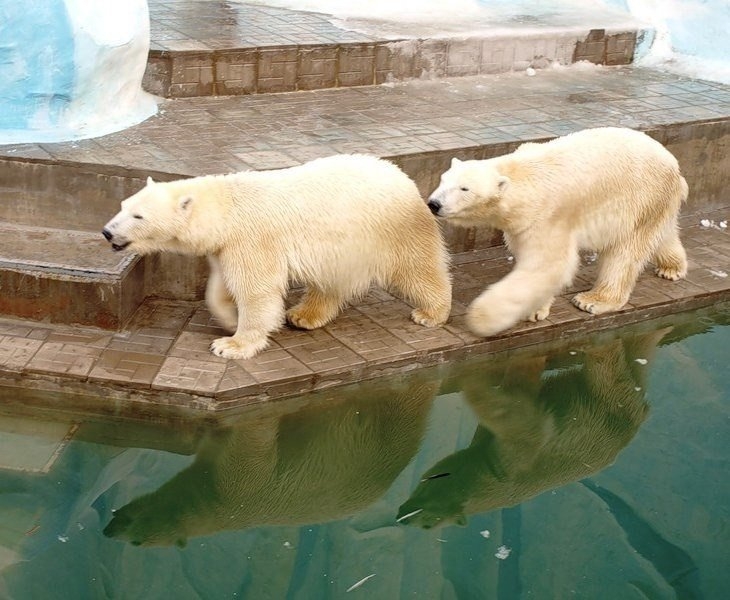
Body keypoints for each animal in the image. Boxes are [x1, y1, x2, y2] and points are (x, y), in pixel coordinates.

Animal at [103, 156, 452, 360]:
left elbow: (256, 290)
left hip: (391, 228)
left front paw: (231, 345)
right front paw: (230, 318)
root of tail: (404, 176)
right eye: (122, 205)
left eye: (138, 215)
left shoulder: (253, 238)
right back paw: (304, 315)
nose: (107, 231)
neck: (227, 208)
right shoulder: (226, 246)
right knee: (331, 281)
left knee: (417, 266)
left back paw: (431, 312)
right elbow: (220, 286)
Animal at [424, 127, 684, 338]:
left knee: (625, 252)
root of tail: (674, 165)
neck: (523, 178)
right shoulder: (521, 223)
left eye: (464, 188)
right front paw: (536, 308)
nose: (434, 204)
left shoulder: (548, 216)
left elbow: (548, 265)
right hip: (655, 203)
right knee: (661, 232)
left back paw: (592, 300)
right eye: (443, 180)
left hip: (642, 197)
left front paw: (484, 318)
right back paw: (672, 268)